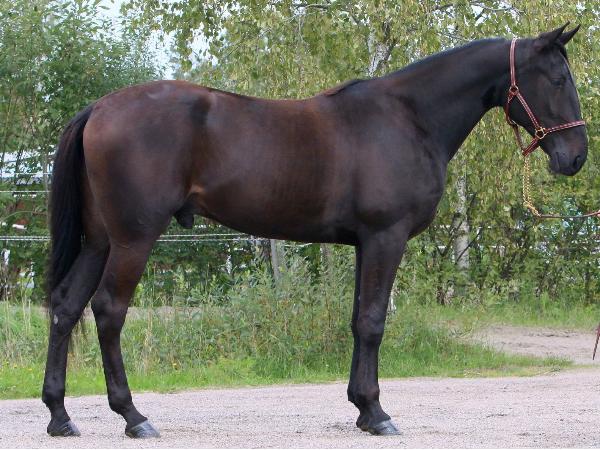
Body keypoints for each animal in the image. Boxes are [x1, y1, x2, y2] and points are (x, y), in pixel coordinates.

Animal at [42, 24, 588, 438]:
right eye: (557, 78)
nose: (576, 158)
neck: (409, 118)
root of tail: (99, 108)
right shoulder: (385, 238)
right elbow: (373, 322)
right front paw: (377, 413)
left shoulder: (366, 244)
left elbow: (358, 321)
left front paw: (362, 408)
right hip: (133, 240)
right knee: (108, 311)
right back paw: (133, 416)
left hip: (100, 240)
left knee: (66, 307)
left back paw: (60, 415)